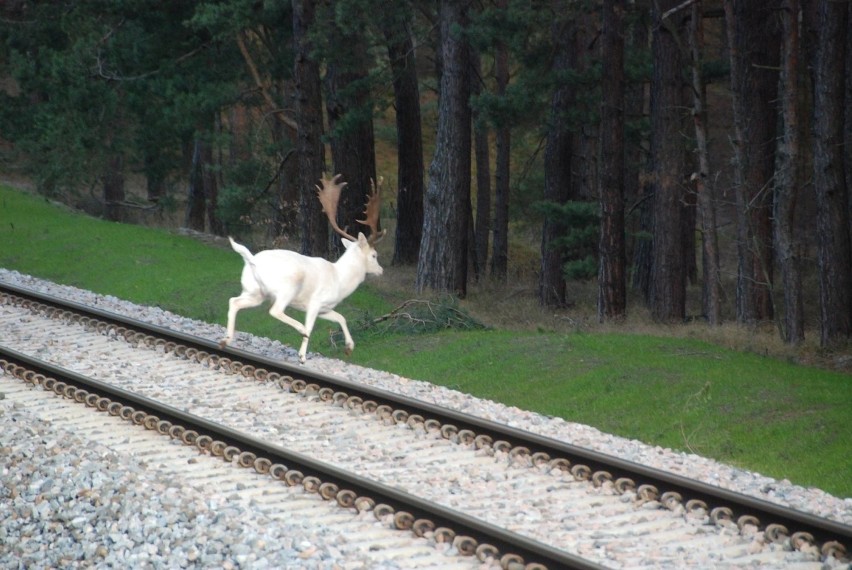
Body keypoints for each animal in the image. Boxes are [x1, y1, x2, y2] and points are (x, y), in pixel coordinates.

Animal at [223, 171, 390, 362]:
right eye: (374, 255)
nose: (381, 270)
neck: (340, 281)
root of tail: (251, 260)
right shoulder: (315, 302)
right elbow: (312, 325)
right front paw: (302, 356)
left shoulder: (325, 308)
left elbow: (341, 318)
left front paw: (349, 347)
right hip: (287, 287)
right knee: (275, 310)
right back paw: (300, 330)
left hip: (254, 291)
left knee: (234, 301)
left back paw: (226, 340)